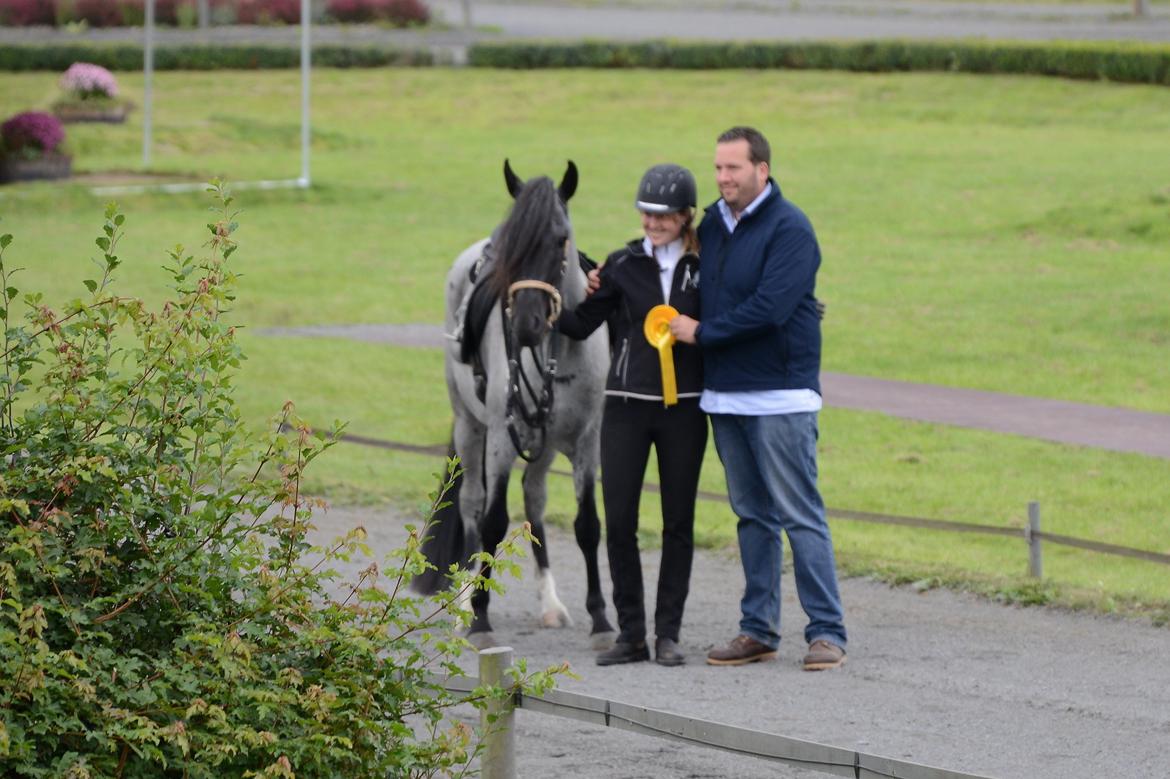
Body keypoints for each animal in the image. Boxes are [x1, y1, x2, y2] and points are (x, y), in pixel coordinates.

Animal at [414, 159, 617, 650]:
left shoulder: (586, 442)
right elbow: (492, 522)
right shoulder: (502, 441)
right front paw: (480, 615)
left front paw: (600, 619)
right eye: (512, 242)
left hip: (543, 446)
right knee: (473, 505)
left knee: (534, 500)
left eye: (560, 238)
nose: (525, 323)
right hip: (471, 428)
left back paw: (550, 602)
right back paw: (464, 602)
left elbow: (587, 526)